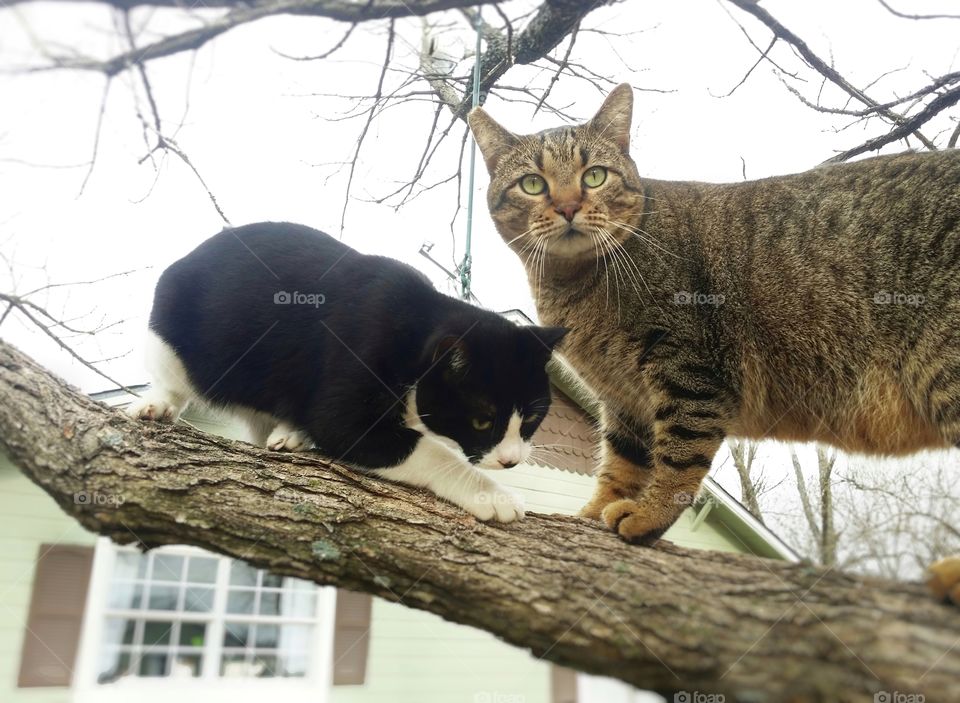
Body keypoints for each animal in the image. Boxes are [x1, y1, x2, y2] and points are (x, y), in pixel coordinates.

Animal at [470, 85, 960, 604]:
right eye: (532, 184)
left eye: (594, 176)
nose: (566, 207)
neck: (573, 285)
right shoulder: (624, 397)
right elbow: (621, 462)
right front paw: (594, 510)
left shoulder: (688, 371)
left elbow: (678, 456)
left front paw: (647, 515)